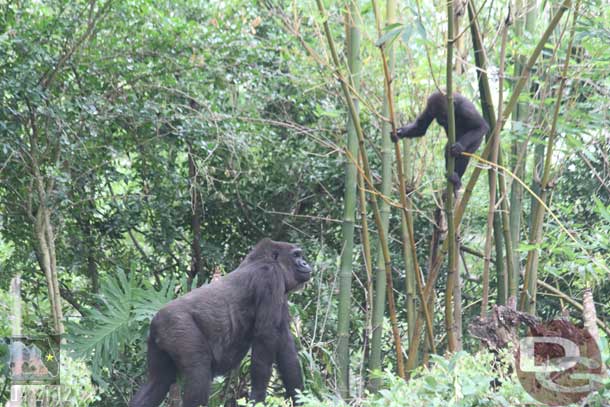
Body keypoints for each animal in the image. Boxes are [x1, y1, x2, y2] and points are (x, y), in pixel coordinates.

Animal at [130, 239, 312, 407]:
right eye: (296, 255)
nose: (305, 263)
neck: (266, 260)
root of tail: (155, 321)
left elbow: (285, 345)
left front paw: (301, 398)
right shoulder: (270, 277)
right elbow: (265, 337)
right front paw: (257, 397)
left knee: (158, 381)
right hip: (175, 325)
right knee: (199, 372)